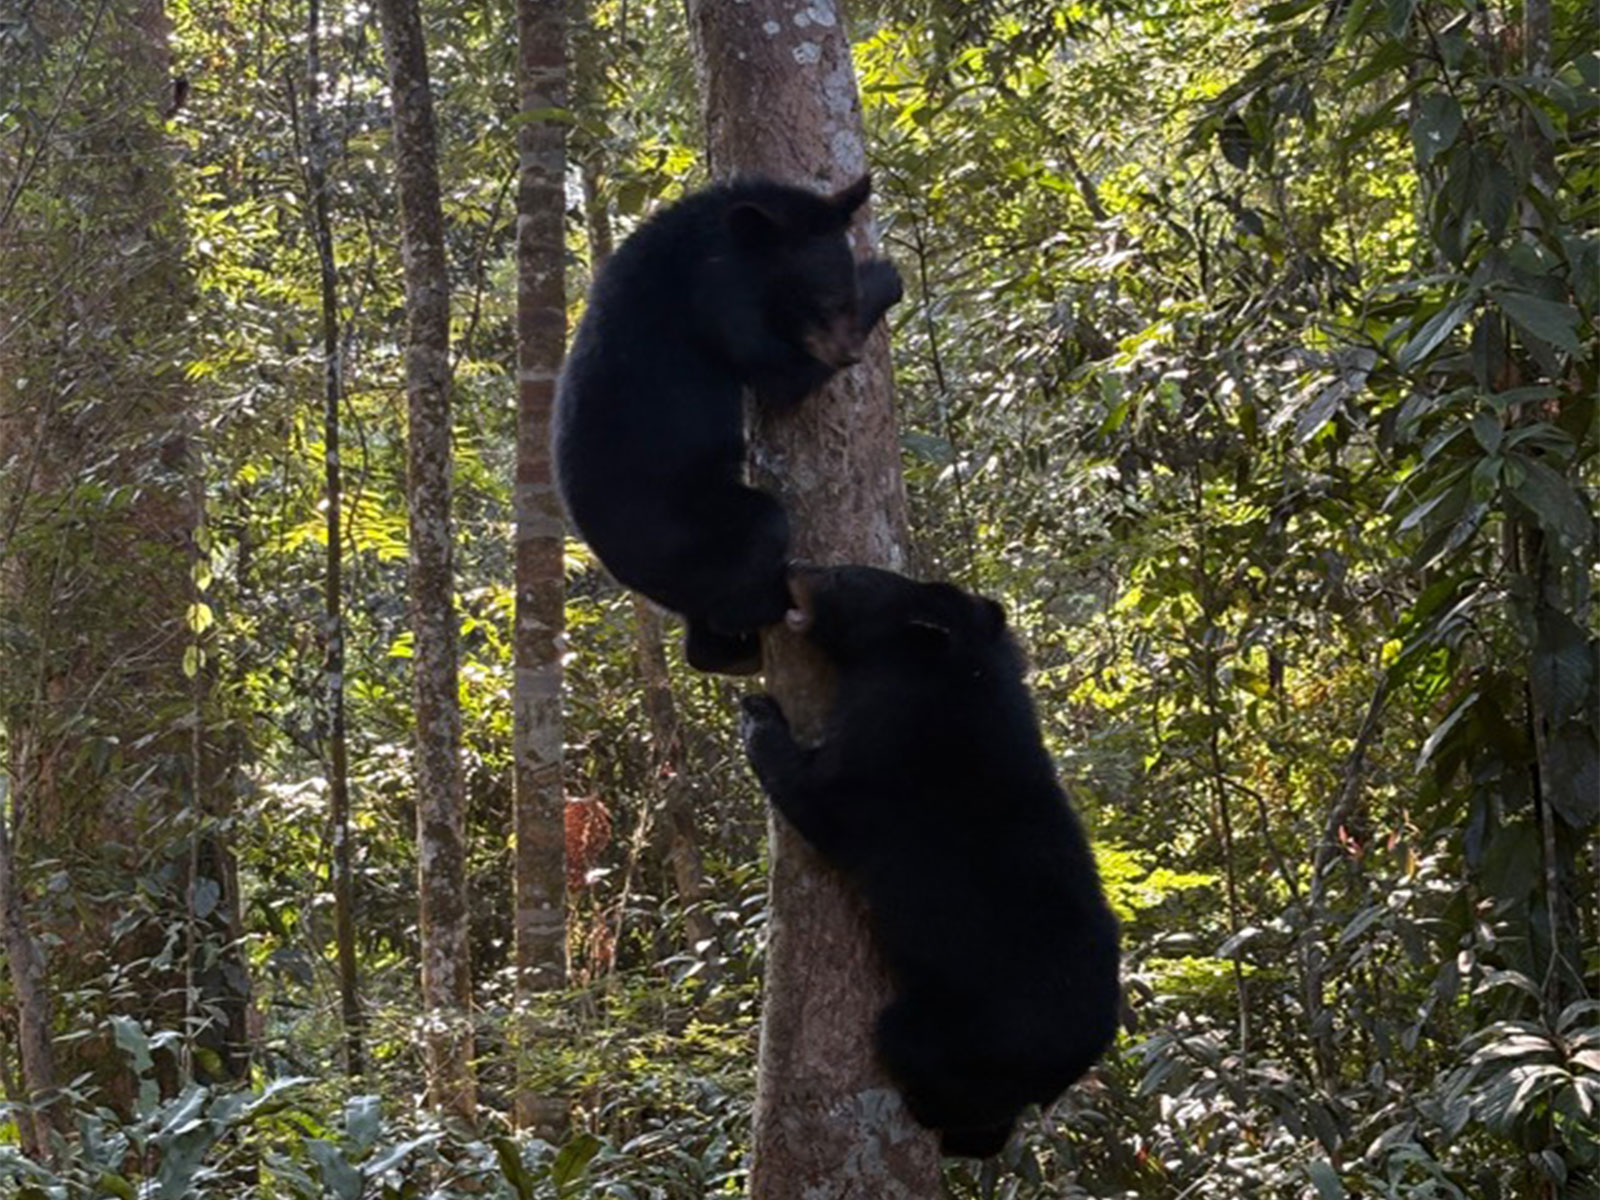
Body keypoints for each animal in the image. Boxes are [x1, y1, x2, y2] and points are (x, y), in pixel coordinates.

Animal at [553, 176, 903, 674]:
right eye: (821, 301)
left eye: (843, 298)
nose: (849, 354)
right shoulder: (720, 303)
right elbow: (782, 376)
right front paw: (885, 275)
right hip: (693, 528)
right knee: (761, 530)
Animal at [739, 565, 1121, 1157]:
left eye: (844, 578)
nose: (793, 569)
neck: (960, 672)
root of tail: (1074, 1060)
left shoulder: (890, 751)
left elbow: (821, 798)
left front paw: (759, 718)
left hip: (969, 1031)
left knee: (918, 1053)